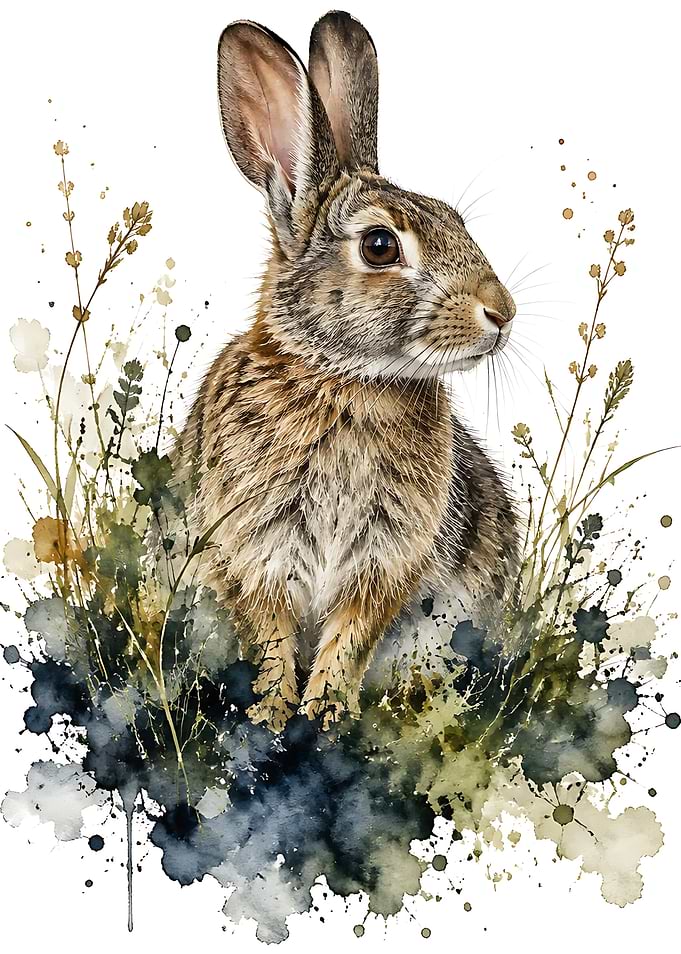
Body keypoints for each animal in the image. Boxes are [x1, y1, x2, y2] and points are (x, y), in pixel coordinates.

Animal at [172, 11, 519, 731]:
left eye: (457, 220)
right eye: (380, 246)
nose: (501, 313)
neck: (344, 379)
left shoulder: (385, 562)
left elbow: (348, 641)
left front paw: (324, 718)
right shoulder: (256, 552)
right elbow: (271, 639)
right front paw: (275, 718)